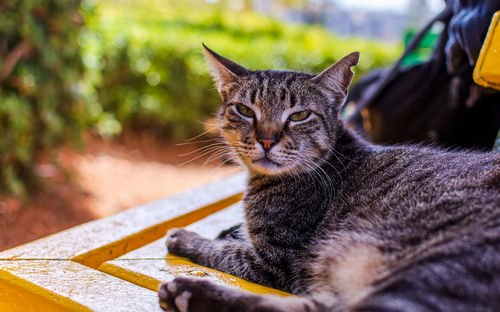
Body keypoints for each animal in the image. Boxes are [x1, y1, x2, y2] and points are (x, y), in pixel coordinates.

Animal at [157, 44, 500, 312]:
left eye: (299, 115)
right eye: (245, 110)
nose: (266, 140)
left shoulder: (273, 262)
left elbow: (224, 252)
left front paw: (186, 238)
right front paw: (229, 230)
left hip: (433, 269)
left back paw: (188, 293)